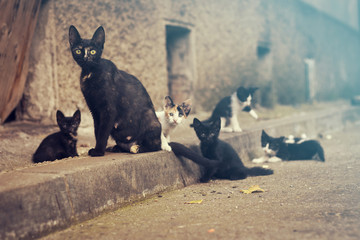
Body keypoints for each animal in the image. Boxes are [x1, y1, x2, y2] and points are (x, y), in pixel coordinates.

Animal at [69, 24, 162, 156]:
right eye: (78, 50)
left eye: (92, 51)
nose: (86, 58)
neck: (90, 73)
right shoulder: (94, 110)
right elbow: (97, 130)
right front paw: (99, 149)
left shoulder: (108, 109)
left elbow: (102, 132)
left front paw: (98, 151)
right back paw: (116, 147)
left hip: (150, 119)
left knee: (156, 146)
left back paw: (138, 148)